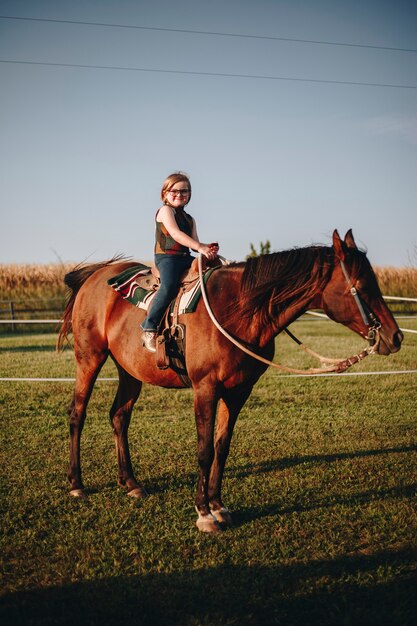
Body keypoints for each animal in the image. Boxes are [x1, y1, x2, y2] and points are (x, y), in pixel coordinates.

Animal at [57, 229, 400, 532]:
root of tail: (95, 275)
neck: (237, 310)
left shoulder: (238, 392)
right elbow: (204, 450)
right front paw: (203, 514)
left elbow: (222, 447)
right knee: (77, 414)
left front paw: (219, 506)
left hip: (129, 370)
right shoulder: (206, 388)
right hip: (89, 358)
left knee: (119, 416)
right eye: (360, 285)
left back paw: (130, 483)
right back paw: (77, 485)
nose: (394, 336)